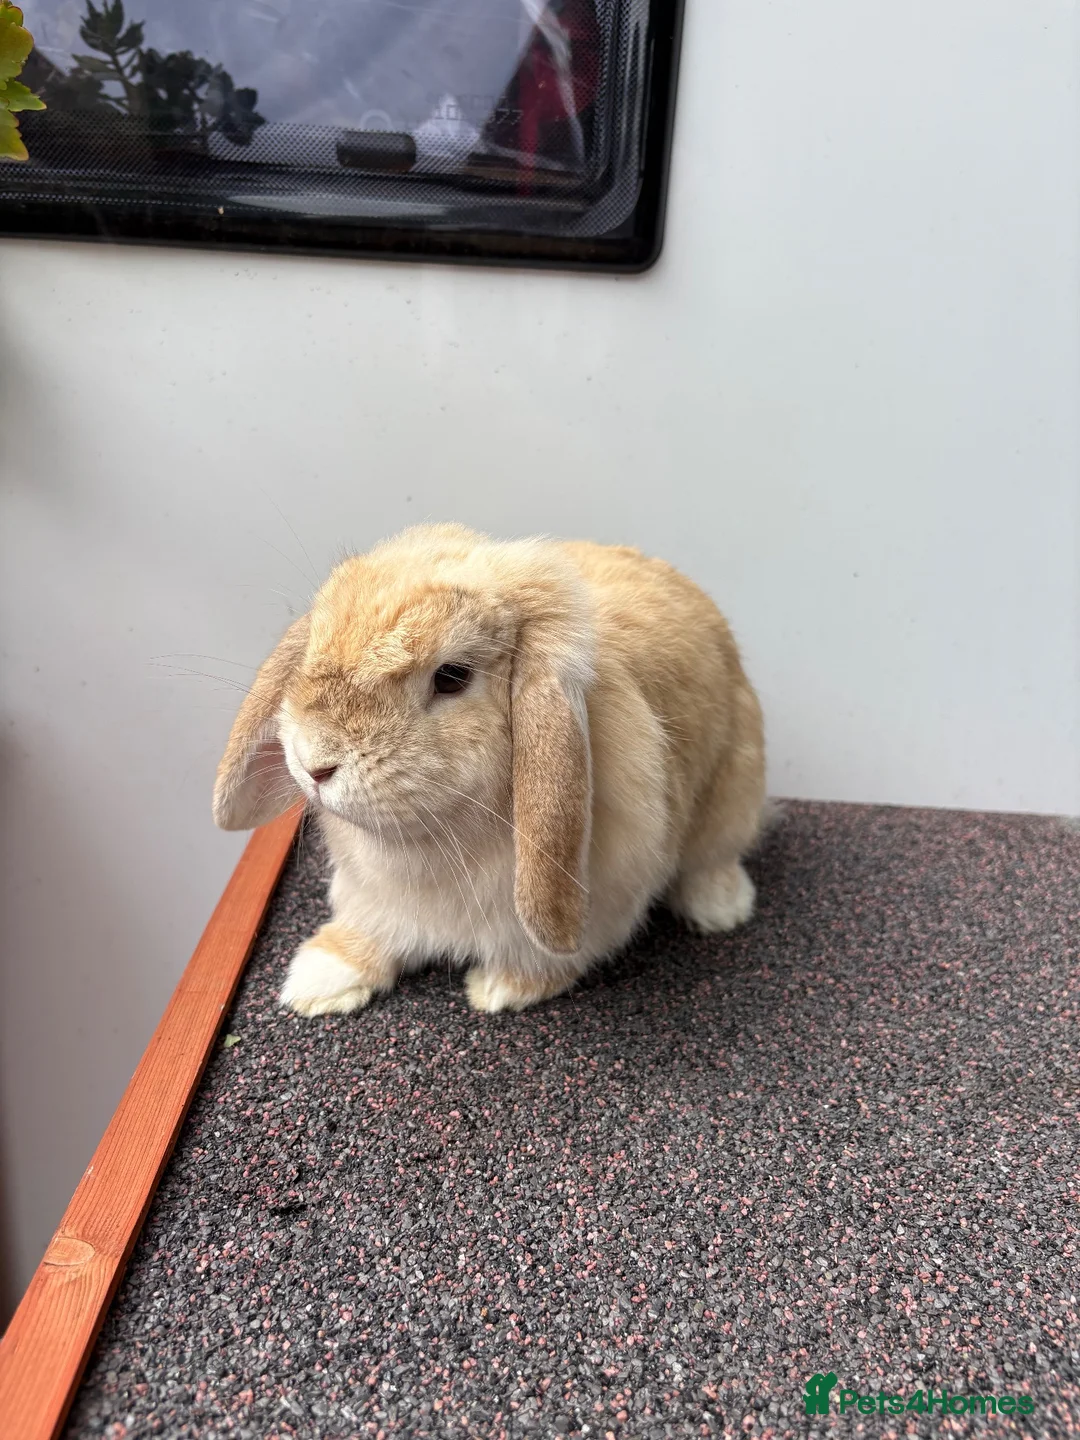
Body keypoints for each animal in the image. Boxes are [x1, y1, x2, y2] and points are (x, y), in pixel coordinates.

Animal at [213, 524, 766, 1014]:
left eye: (452, 677)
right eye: (313, 646)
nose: (313, 763)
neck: (435, 843)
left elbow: (549, 957)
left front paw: (501, 989)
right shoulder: (373, 898)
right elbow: (367, 935)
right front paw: (315, 980)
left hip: (733, 795)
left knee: (714, 858)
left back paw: (720, 909)